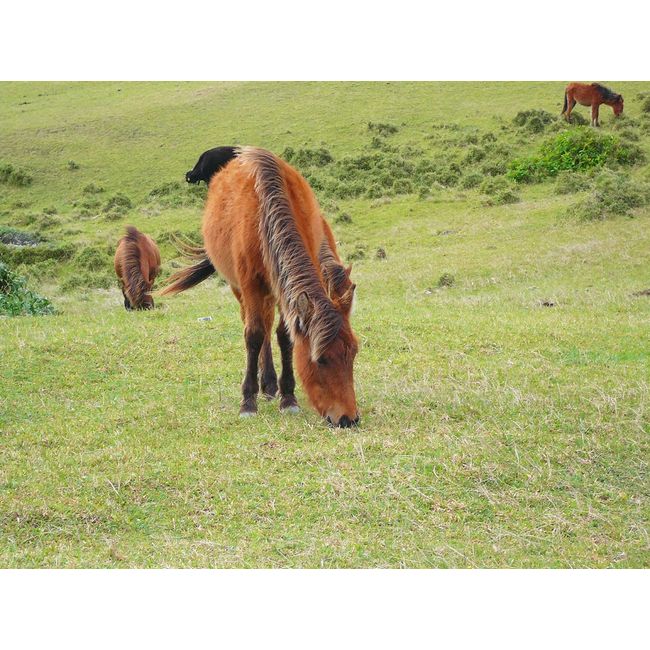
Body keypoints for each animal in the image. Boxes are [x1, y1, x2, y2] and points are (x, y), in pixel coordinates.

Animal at [159, 146, 356, 426]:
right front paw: (248, 402)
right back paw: (266, 385)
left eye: (353, 354)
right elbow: (253, 335)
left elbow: (284, 336)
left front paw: (288, 397)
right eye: (321, 360)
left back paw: (271, 385)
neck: (265, 215)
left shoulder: (284, 289)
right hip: (241, 289)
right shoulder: (251, 286)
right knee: (255, 325)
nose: (348, 418)